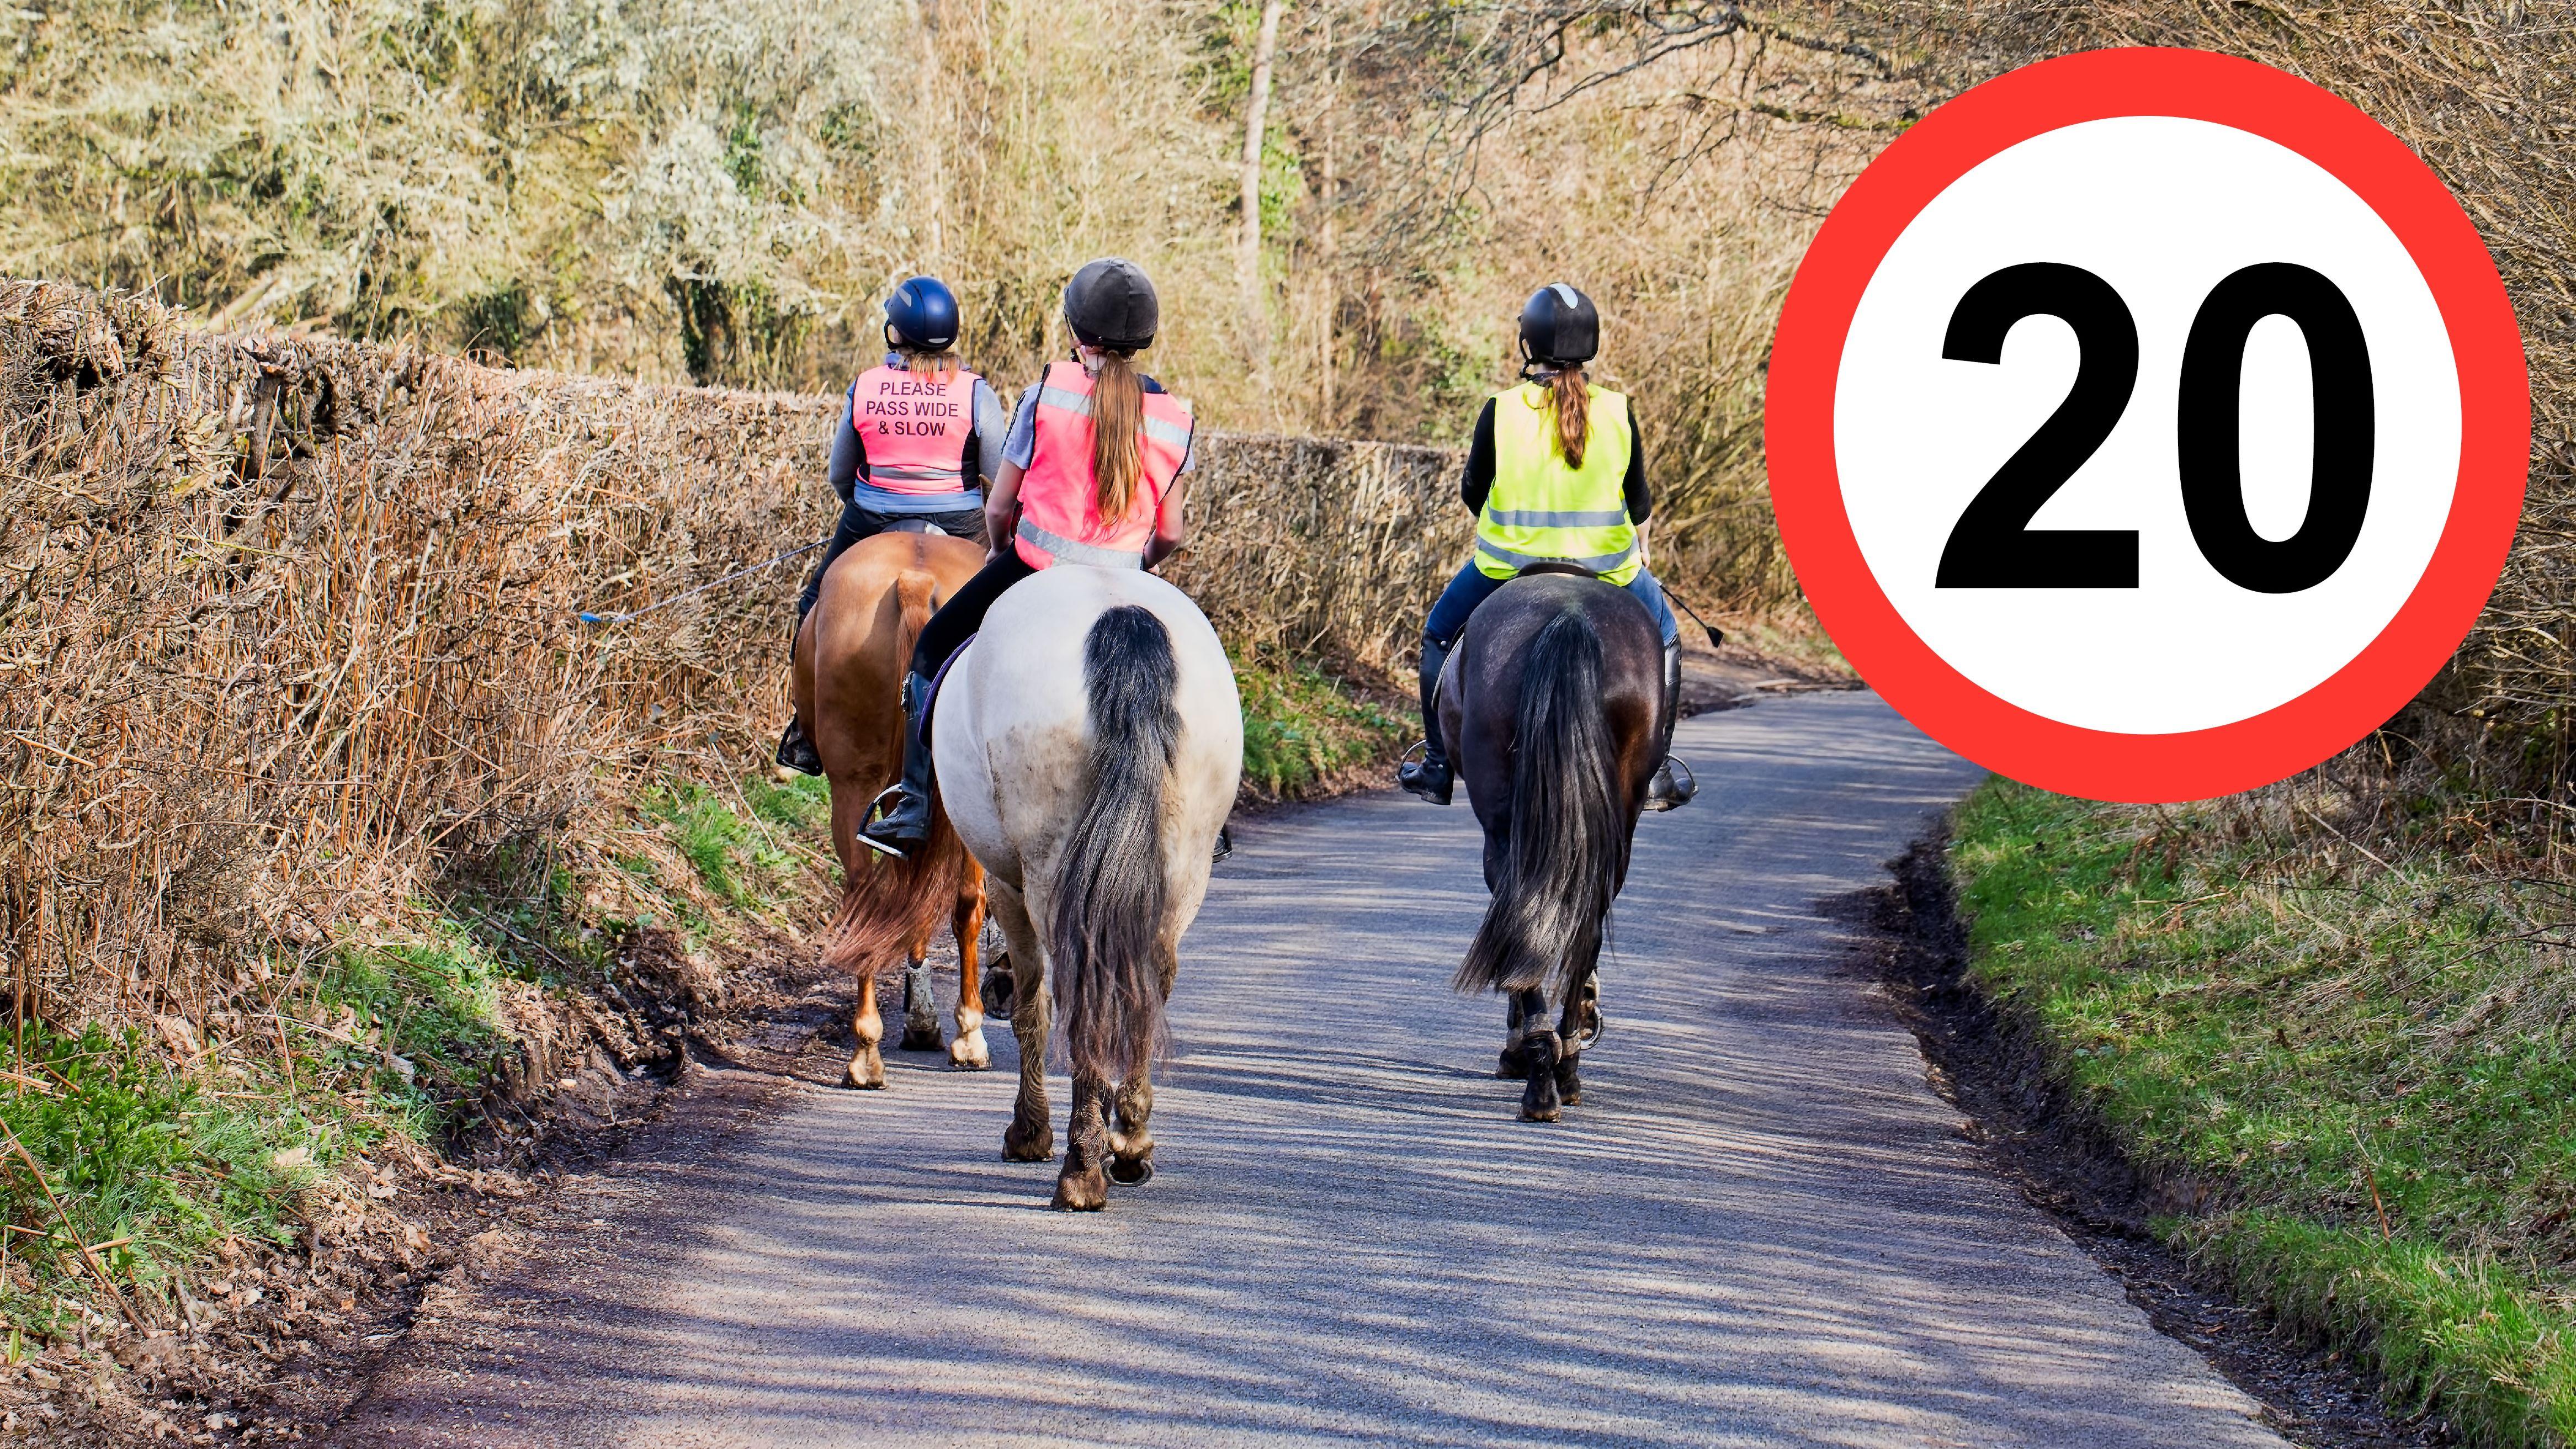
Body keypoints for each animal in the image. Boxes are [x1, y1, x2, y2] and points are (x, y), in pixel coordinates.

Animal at [793, 528, 994, 1082]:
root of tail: (913, 577)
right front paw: (927, 1022)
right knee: (964, 901)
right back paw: (964, 1035)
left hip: (855, 781)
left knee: (868, 890)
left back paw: (867, 1049)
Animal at [932, 564, 1241, 1206]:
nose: (992, 992)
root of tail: (1120, 614)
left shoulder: (1008, 886)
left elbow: (1034, 1007)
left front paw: (1030, 1133)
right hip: (1184, 870)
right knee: (1149, 981)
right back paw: (1128, 1142)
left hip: (1046, 869)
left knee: (1075, 995)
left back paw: (1079, 1168)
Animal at [1442, 564, 1659, 1119]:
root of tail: (1569, 614)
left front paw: (1517, 1047)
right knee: (1581, 924)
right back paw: (1560, 1066)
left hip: (1502, 824)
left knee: (1525, 912)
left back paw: (1540, 1072)